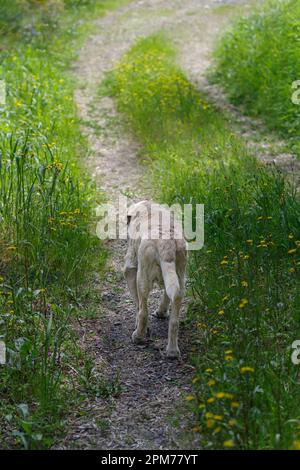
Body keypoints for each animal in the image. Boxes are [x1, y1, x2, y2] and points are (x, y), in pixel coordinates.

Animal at [123, 200, 186, 358]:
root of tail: (167, 244)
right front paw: (161, 312)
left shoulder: (130, 270)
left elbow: (138, 305)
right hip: (180, 276)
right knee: (174, 314)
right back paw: (172, 351)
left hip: (142, 279)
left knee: (143, 312)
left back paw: (138, 336)